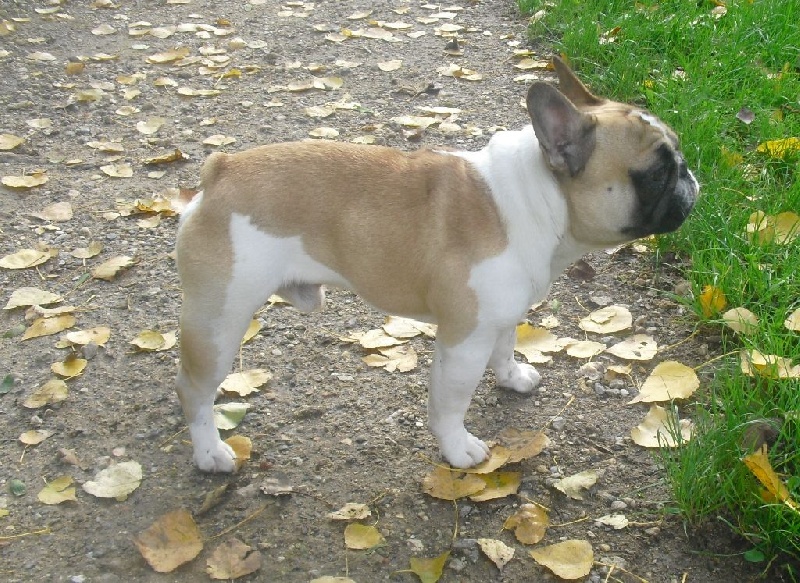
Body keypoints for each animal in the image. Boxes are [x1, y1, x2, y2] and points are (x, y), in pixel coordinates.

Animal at [175, 56, 698, 473]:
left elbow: (505, 348)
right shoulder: (464, 339)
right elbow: (451, 401)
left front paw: (512, 378)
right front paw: (458, 448)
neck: (537, 197)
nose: (691, 175)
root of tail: (219, 172)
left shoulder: (499, 317)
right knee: (194, 391)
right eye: (655, 173)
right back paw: (210, 453)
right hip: (219, 321)